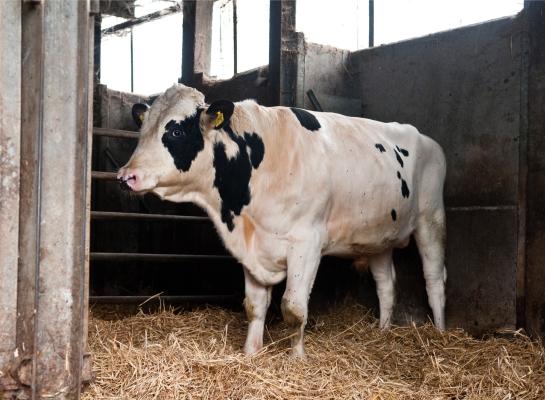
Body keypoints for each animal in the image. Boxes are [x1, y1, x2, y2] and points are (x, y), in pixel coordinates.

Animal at [117, 83, 444, 358]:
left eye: (175, 132)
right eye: (143, 129)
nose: (125, 176)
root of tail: (427, 139)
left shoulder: (307, 243)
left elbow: (294, 308)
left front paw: (296, 358)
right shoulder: (252, 247)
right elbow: (254, 306)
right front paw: (250, 353)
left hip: (431, 221)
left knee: (434, 280)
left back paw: (440, 332)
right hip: (378, 237)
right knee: (386, 285)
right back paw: (383, 331)